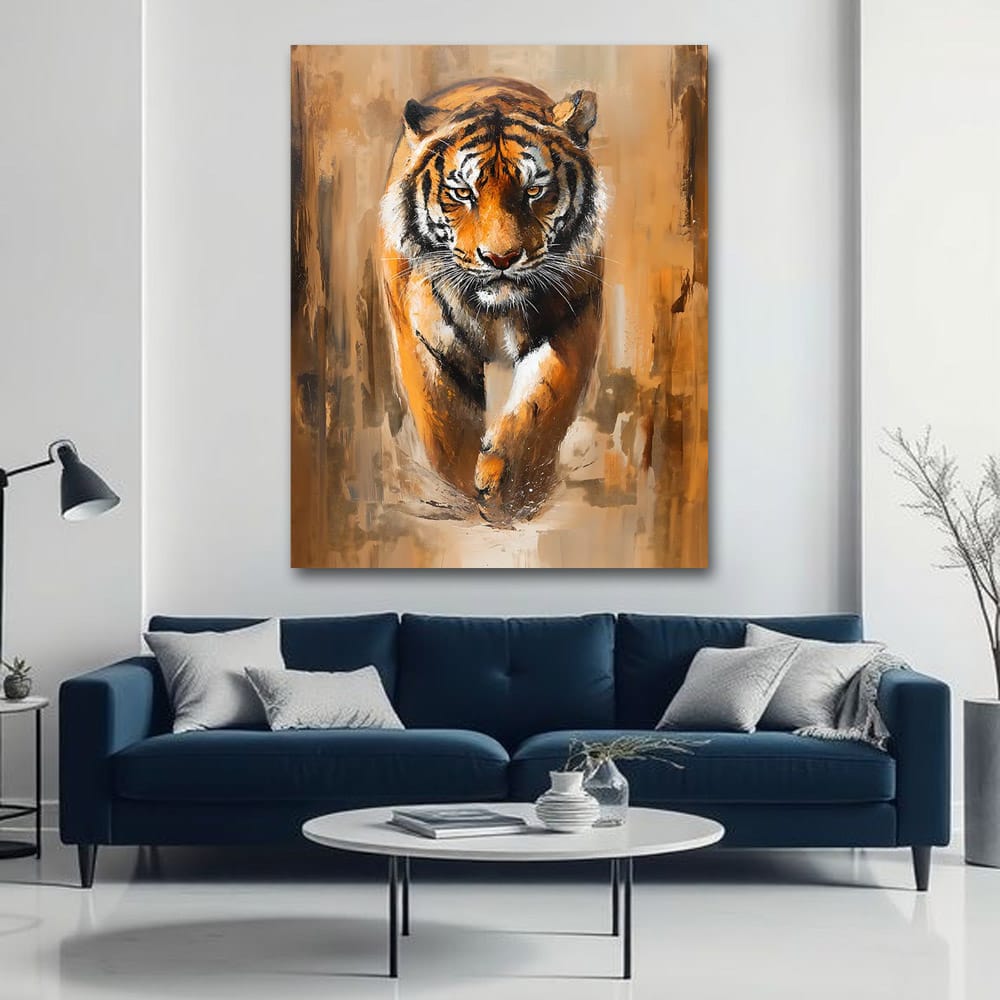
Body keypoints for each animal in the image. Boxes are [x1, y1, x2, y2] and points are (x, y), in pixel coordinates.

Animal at [379, 77, 606, 526]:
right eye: (462, 193)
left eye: (534, 191)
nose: (501, 259)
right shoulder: (426, 341)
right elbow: (446, 425)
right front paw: (468, 493)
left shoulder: (572, 320)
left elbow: (541, 405)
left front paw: (510, 490)